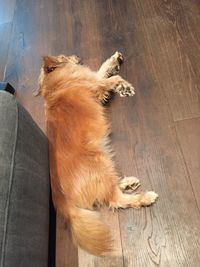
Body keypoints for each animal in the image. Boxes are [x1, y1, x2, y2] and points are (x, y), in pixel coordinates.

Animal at [35, 51, 158, 255]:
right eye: (63, 55)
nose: (76, 56)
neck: (53, 78)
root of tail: (63, 201)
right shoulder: (95, 85)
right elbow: (112, 79)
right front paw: (123, 86)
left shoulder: (94, 78)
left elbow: (103, 69)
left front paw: (113, 60)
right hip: (100, 162)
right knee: (116, 200)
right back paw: (145, 197)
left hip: (105, 165)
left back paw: (127, 182)